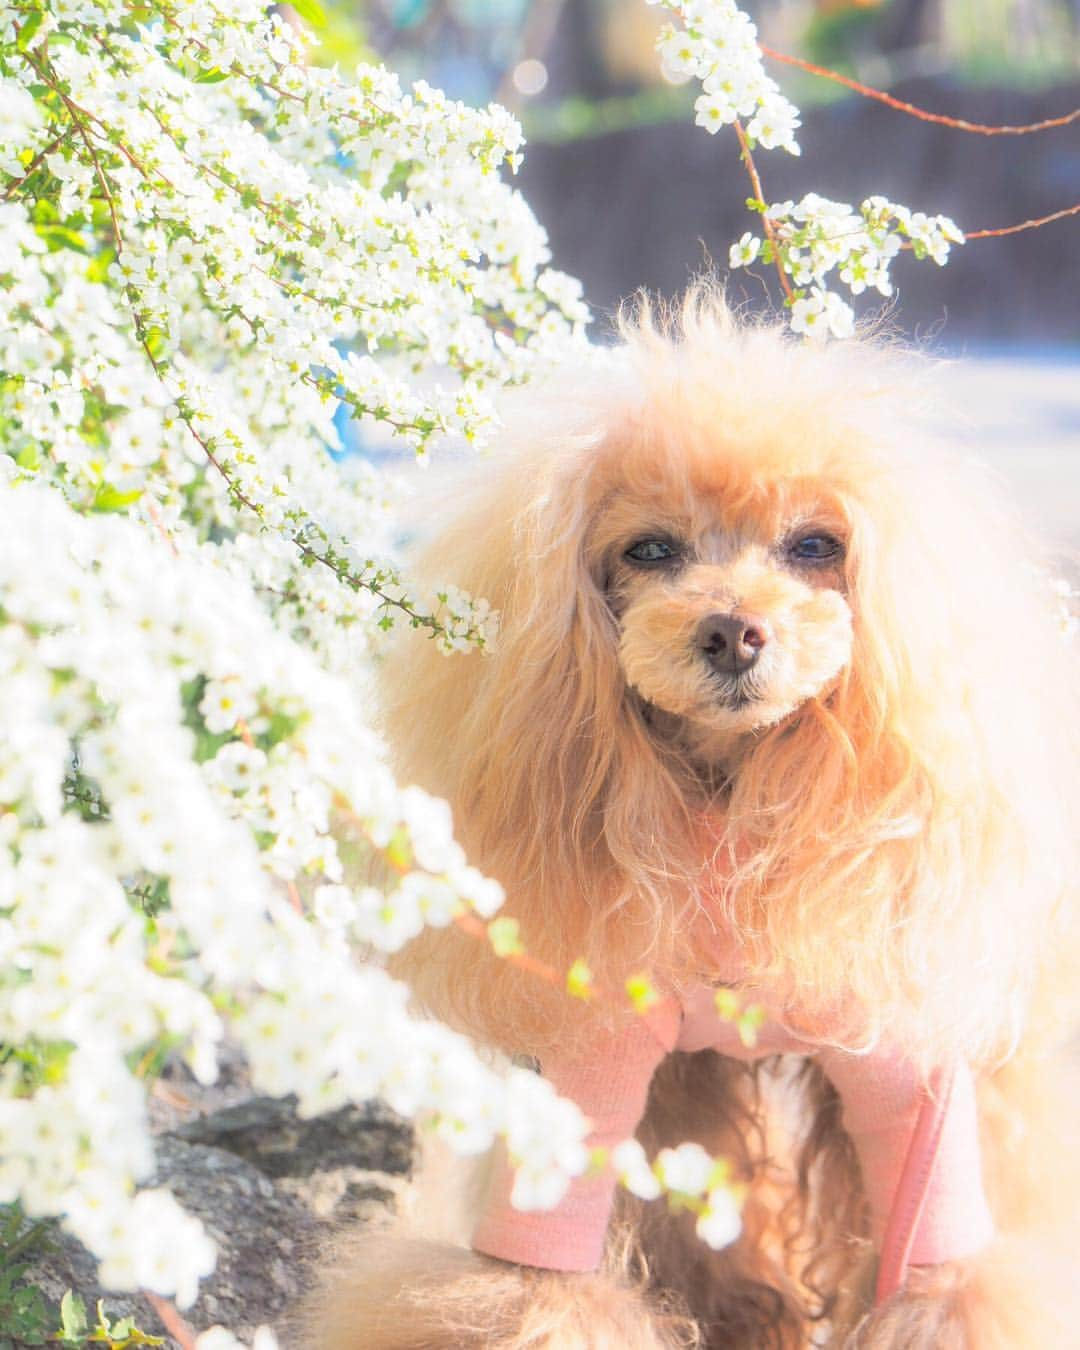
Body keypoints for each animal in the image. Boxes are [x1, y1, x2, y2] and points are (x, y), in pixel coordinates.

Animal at [303, 290, 1080, 1344]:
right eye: (650, 550)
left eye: (815, 545)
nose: (732, 631)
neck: (727, 802)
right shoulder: (596, 1049)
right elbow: (534, 1283)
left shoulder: (898, 1052)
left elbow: (948, 1272)